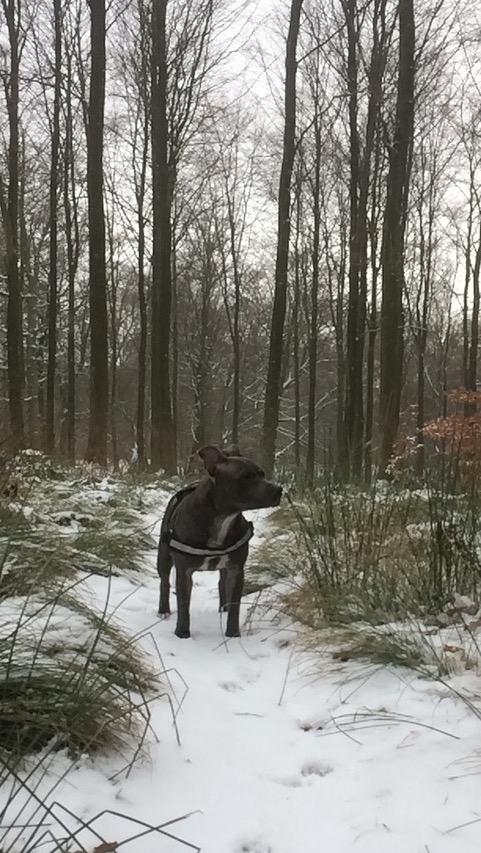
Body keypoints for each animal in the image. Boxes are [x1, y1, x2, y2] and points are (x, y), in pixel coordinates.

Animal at [156, 446, 282, 640]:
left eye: (262, 474)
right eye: (245, 477)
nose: (279, 489)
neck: (222, 518)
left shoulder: (236, 569)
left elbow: (235, 605)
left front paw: (233, 633)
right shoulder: (184, 571)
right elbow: (184, 605)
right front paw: (182, 633)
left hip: (225, 568)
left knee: (222, 582)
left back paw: (224, 607)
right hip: (163, 557)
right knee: (164, 582)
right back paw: (163, 610)